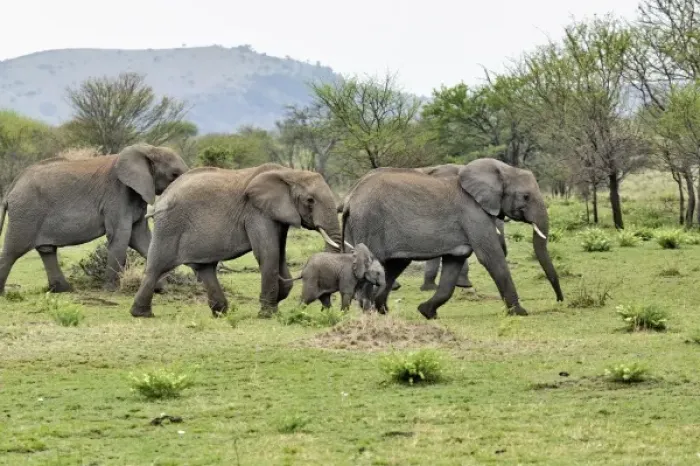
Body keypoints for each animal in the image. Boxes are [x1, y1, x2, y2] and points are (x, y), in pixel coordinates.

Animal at [0, 143, 189, 294]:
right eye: (174, 174)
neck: (148, 149)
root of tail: (13, 186)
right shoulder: (117, 195)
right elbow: (121, 236)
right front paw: (111, 291)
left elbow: (141, 239)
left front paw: (160, 289)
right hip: (26, 213)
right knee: (12, 251)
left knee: (47, 250)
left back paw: (64, 290)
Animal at [129, 163, 343, 318]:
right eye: (310, 201)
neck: (290, 173)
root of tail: (162, 197)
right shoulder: (256, 212)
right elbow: (269, 253)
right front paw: (268, 314)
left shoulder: (277, 215)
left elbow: (279, 254)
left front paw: (278, 298)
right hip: (170, 226)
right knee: (157, 267)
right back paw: (142, 315)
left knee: (205, 268)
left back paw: (221, 313)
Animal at [341, 157, 564, 319]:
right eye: (526, 197)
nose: (560, 301)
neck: (503, 169)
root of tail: (350, 200)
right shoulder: (473, 213)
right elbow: (491, 258)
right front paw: (520, 313)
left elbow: (453, 266)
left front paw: (427, 313)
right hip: (369, 223)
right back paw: (368, 312)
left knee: (394, 266)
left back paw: (382, 311)